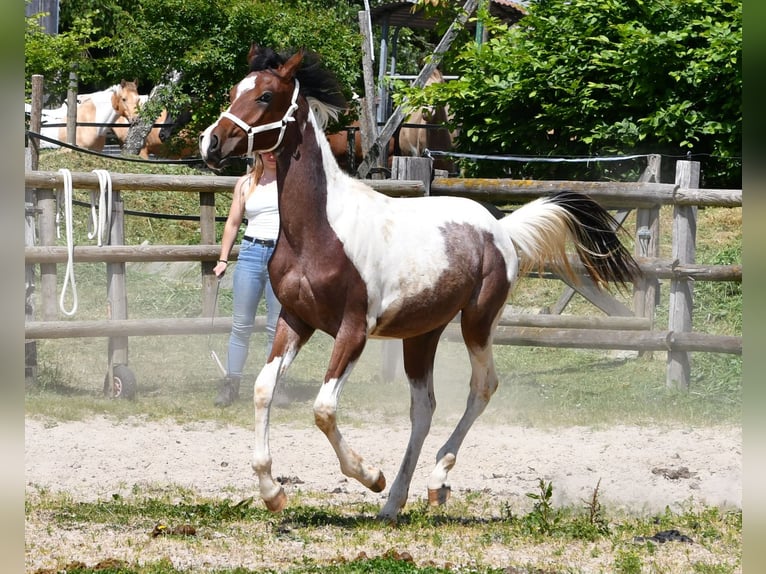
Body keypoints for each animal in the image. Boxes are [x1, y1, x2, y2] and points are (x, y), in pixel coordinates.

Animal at [198, 46, 640, 522]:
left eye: (265, 95)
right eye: (233, 91)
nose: (210, 142)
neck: (320, 229)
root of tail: (500, 228)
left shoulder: (354, 330)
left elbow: (323, 408)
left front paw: (370, 475)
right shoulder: (296, 319)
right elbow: (264, 390)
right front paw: (273, 492)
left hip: (476, 323)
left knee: (482, 387)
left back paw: (434, 481)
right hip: (421, 333)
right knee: (423, 408)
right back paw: (395, 502)